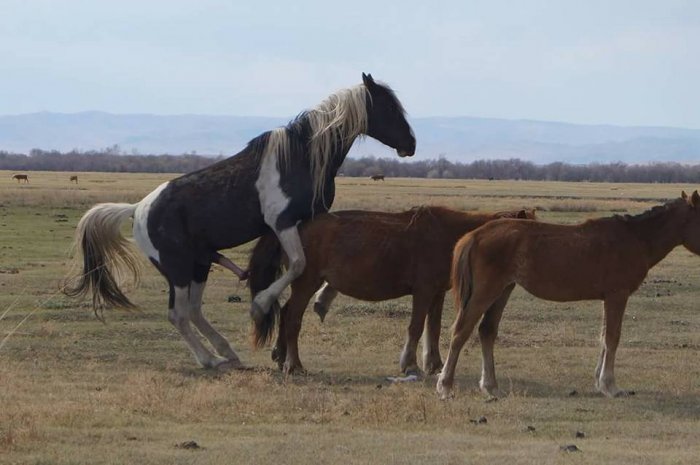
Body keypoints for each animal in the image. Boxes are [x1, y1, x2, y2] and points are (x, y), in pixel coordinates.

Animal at [64, 73, 416, 370]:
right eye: (387, 107)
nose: (410, 145)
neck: (300, 157)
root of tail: (138, 209)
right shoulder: (283, 223)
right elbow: (298, 265)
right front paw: (260, 306)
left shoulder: (309, 221)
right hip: (177, 267)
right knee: (178, 314)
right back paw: (209, 359)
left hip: (199, 264)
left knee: (193, 309)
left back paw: (226, 351)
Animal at [247, 205, 536, 376]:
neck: (448, 236)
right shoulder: (423, 291)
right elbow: (416, 327)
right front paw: (410, 364)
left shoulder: (436, 294)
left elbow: (433, 328)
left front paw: (434, 364)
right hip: (306, 283)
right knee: (293, 319)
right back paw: (293, 364)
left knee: (286, 313)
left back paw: (280, 355)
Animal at [438, 192, 700, 398]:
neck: (635, 238)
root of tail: (475, 236)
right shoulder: (617, 296)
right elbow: (612, 338)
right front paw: (610, 386)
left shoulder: (609, 298)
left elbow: (604, 337)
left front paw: (600, 382)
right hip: (485, 293)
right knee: (461, 332)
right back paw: (445, 386)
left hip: (503, 291)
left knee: (487, 331)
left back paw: (491, 386)